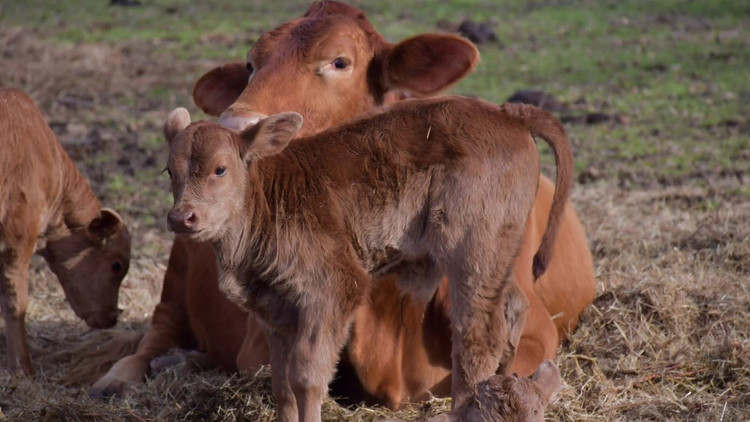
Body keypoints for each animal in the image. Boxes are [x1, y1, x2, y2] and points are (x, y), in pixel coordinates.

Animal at [164, 96, 576, 422]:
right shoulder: (275, 311)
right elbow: (281, 382)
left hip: (471, 252)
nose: (182, 217)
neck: (267, 196)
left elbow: (306, 375)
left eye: (220, 169)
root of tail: (505, 113)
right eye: (170, 171)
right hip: (495, 257)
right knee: (512, 309)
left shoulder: (335, 293)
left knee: (477, 333)